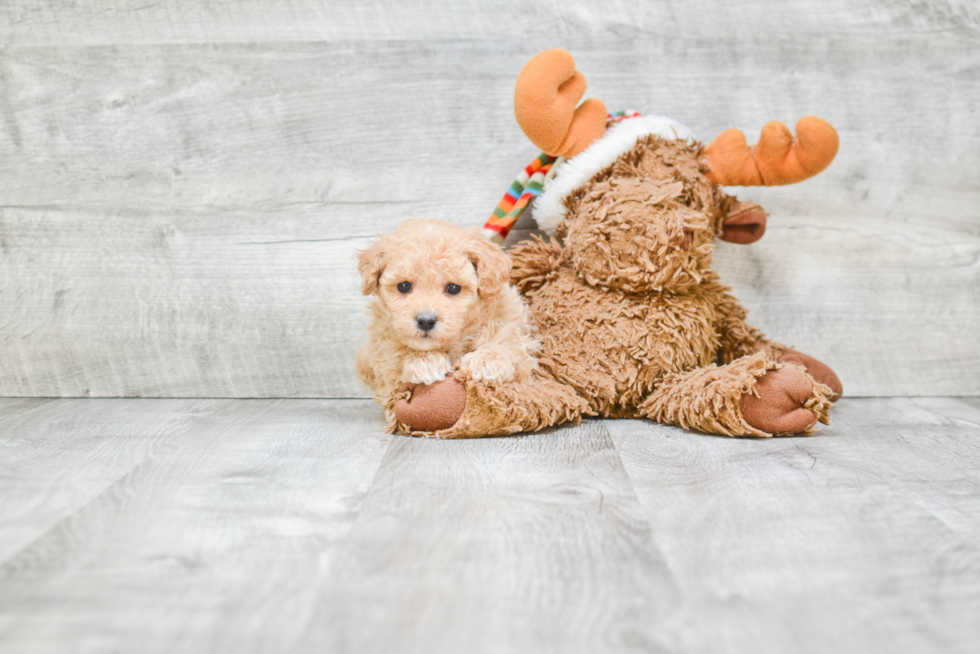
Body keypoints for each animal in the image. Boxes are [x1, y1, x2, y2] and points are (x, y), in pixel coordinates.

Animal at [354, 218, 536, 402]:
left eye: (453, 288)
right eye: (403, 286)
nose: (426, 321)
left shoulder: (517, 334)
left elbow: (510, 344)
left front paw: (485, 361)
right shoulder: (380, 366)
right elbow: (393, 356)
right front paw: (423, 361)